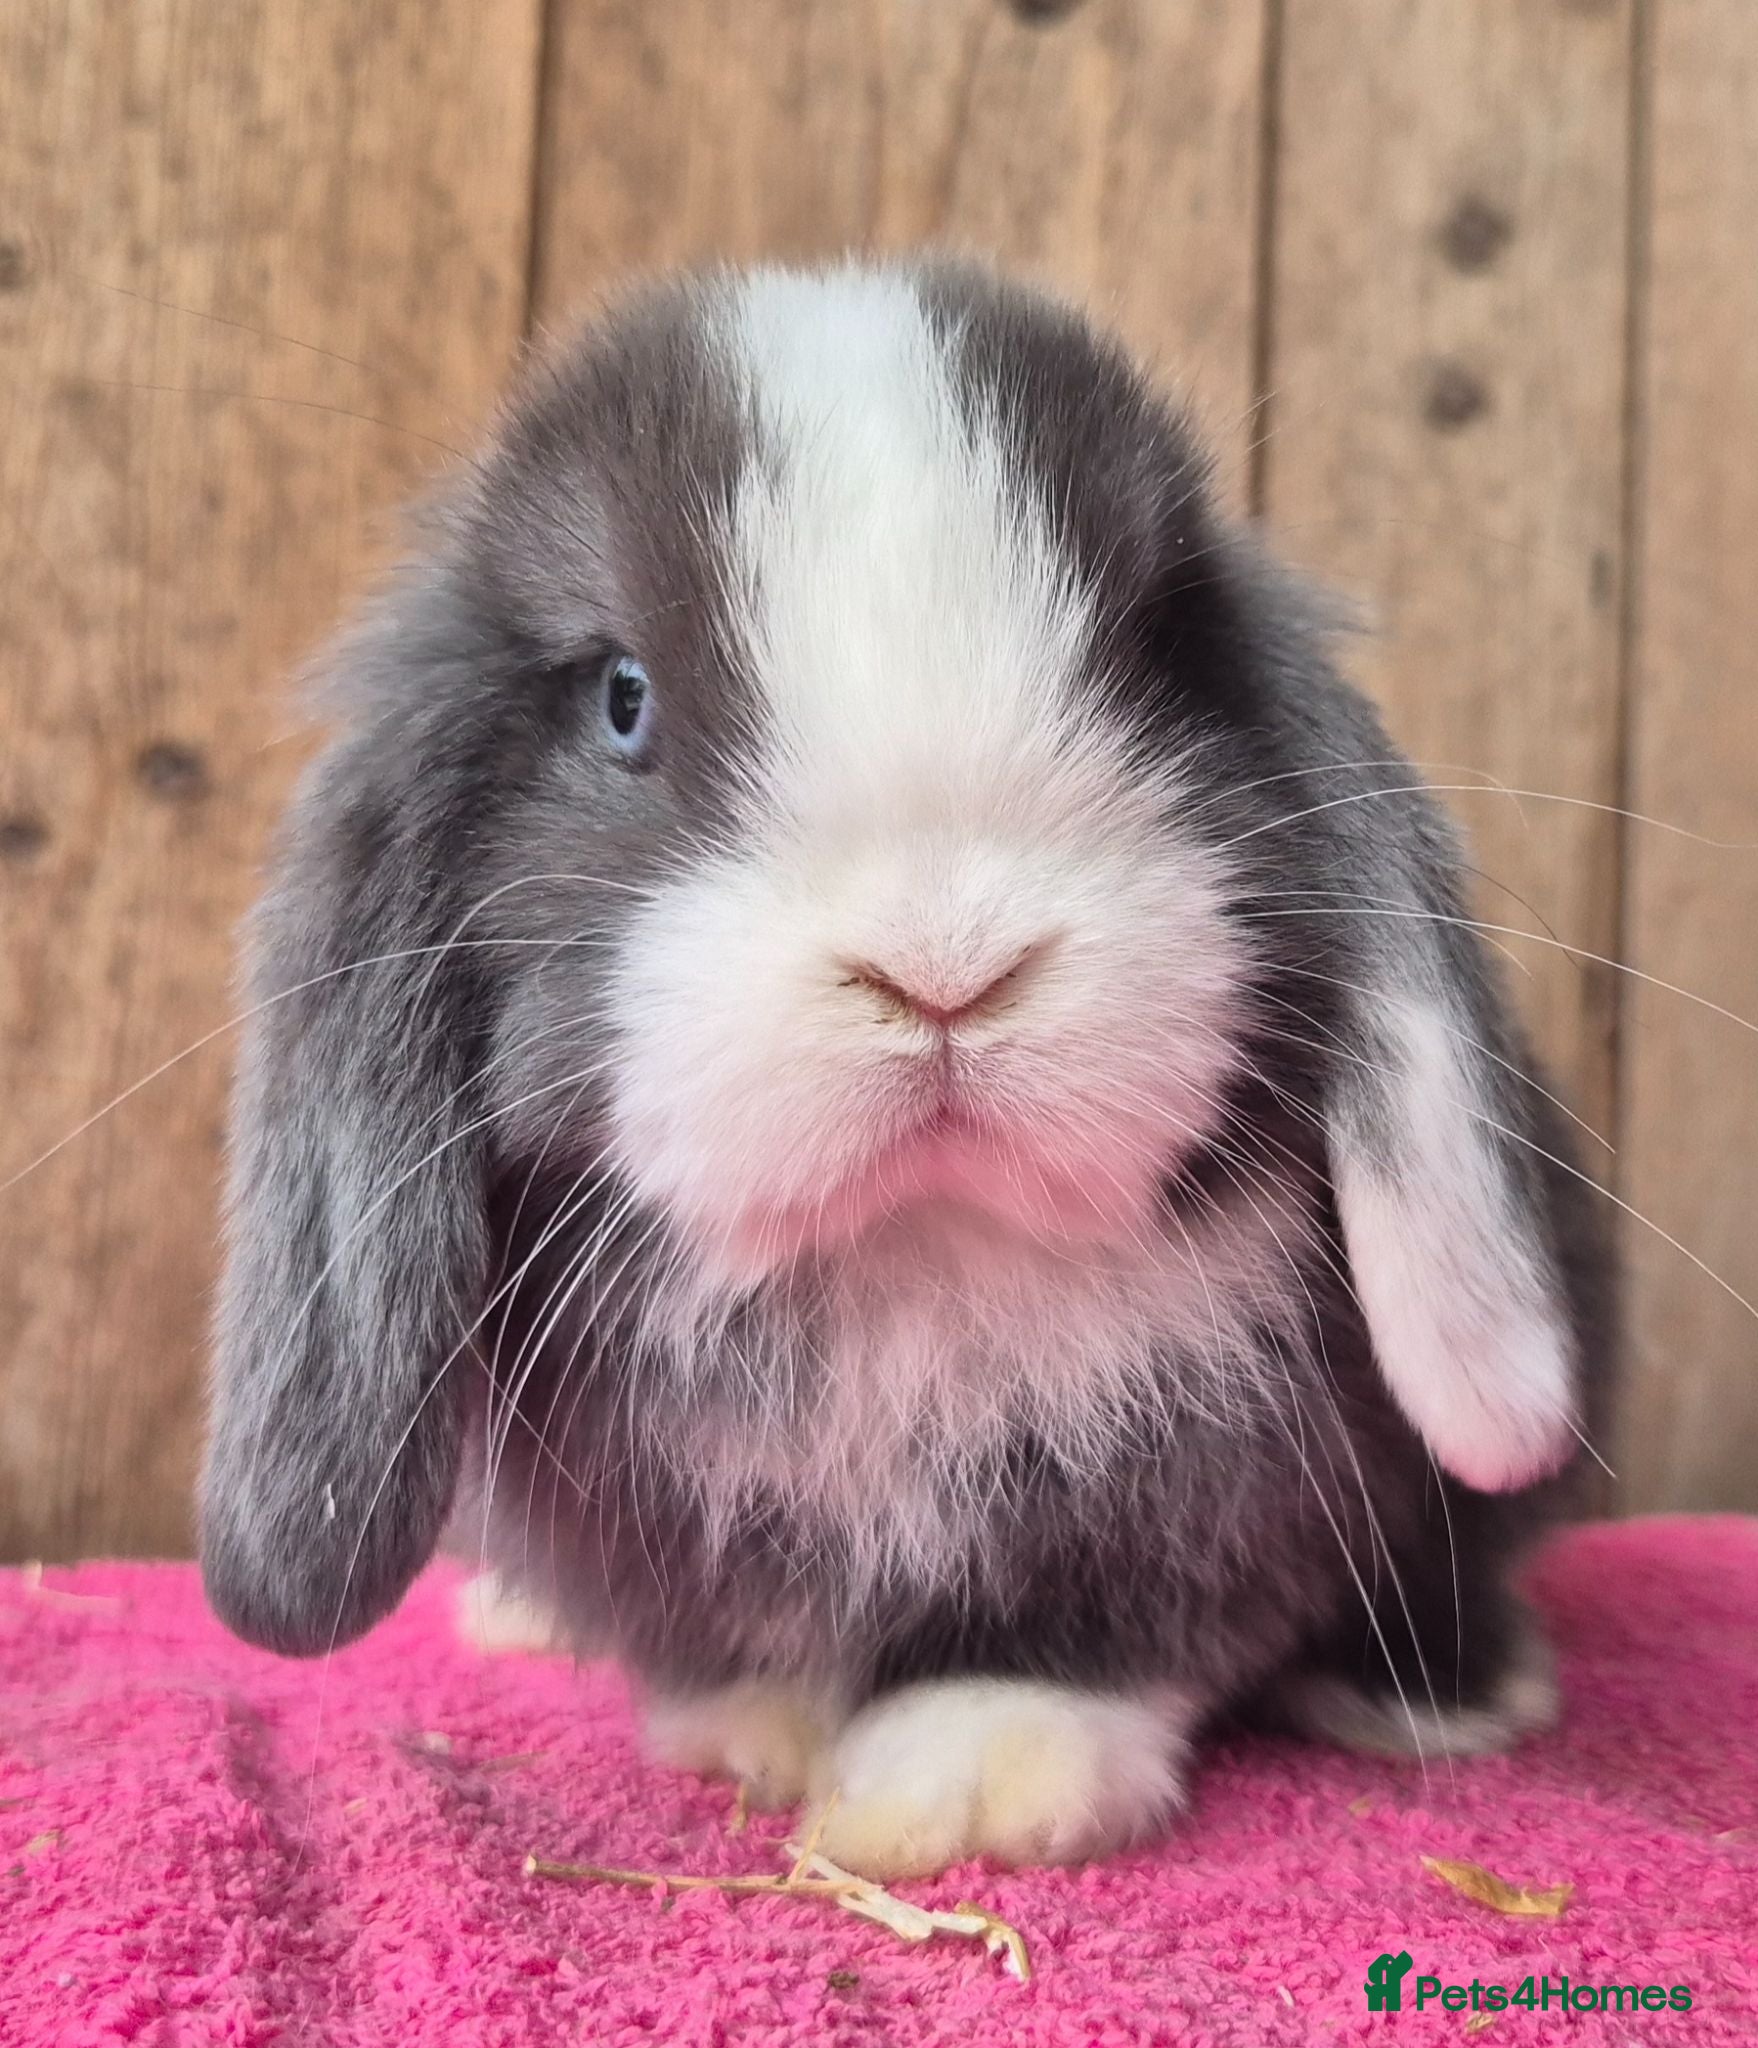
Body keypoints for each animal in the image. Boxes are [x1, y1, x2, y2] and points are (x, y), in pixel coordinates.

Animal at [199, 256, 1614, 1881]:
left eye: (1150, 662)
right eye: (622, 697)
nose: (944, 966)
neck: (915, 1253)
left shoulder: (1217, 1491)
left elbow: (1118, 1623)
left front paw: (972, 1770)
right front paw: (760, 1729)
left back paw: (1449, 1693)